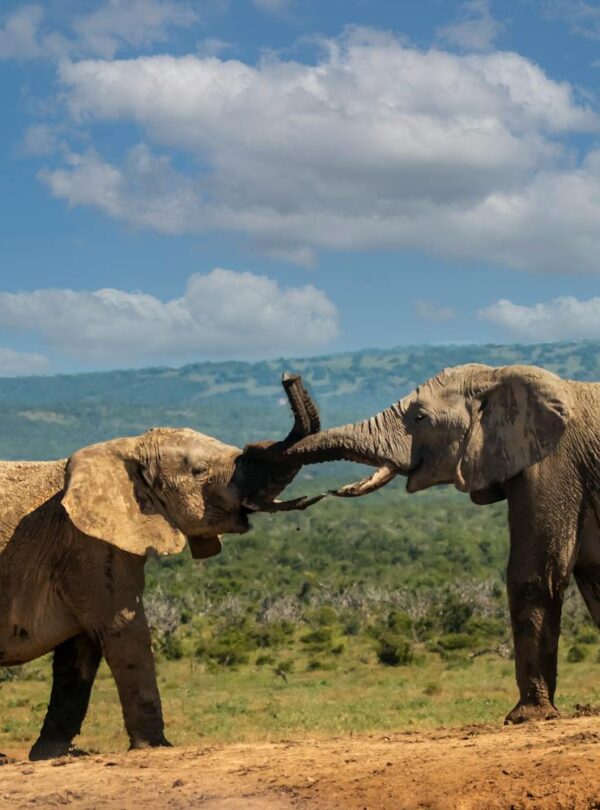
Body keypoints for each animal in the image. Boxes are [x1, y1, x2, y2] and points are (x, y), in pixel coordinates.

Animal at [0, 372, 324, 756]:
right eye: (199, 471)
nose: (289, 377)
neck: (126, 447)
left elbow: (80, 649)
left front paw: (48, 756)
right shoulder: (87, 544)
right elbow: (122, 627)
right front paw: (156, 746)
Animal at [282, 362, 600, 724]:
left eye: (420, 418)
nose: (289, 377)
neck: (497, 375)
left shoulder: (553, 465)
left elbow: (535, 575)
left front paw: (526, 717)